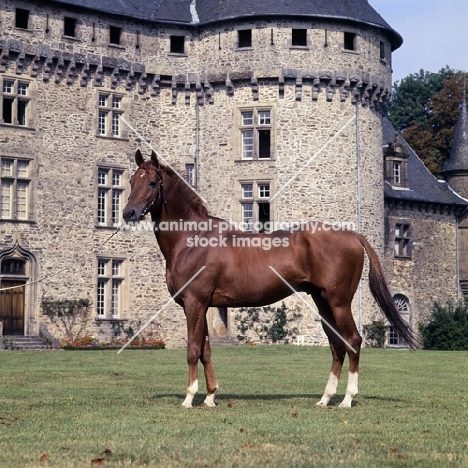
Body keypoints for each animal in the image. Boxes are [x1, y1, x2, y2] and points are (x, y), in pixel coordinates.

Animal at [122, 151, 418, 410]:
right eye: (131, 181)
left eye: (151, 182)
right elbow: (206, 351)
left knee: (353, 341)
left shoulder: (194, 304)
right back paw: (325, 399)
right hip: (323, 302)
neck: (193, 238)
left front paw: (189, 398)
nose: (128, 213)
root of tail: (352, 234)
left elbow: (193, 350)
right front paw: (210, 396)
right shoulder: (201, 306)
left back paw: (347, 399)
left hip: (339, 303)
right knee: (337, 346)